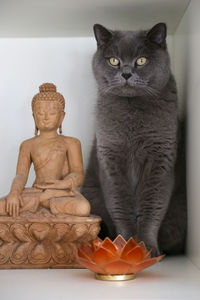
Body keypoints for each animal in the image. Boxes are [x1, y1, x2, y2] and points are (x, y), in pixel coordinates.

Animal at [82, 22, 187, 255]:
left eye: (141, 60)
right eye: (114, 60)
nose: (126, 73)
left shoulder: (160, 160)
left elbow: (152, 206)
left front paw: (147, 248)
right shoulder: (111, 159)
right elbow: (120, 205)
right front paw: (126, 245)